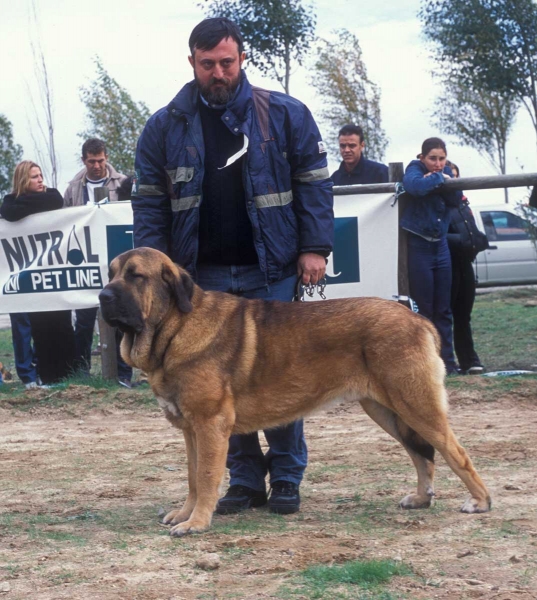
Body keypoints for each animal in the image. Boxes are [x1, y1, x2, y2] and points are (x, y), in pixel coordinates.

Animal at [99, 246, 490, 536]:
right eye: (110, 273)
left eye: (135, 276)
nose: (102, 296)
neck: (175, 327)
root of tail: (418, 319)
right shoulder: (191, 430)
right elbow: (193, 477)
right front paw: (185, 514)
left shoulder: (210, 424)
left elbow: (207, 477)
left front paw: (196, 523)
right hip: (388, 411)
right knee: (422, 456)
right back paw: (422, 498)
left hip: (416, 405)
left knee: (455, 453)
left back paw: (480, 502)